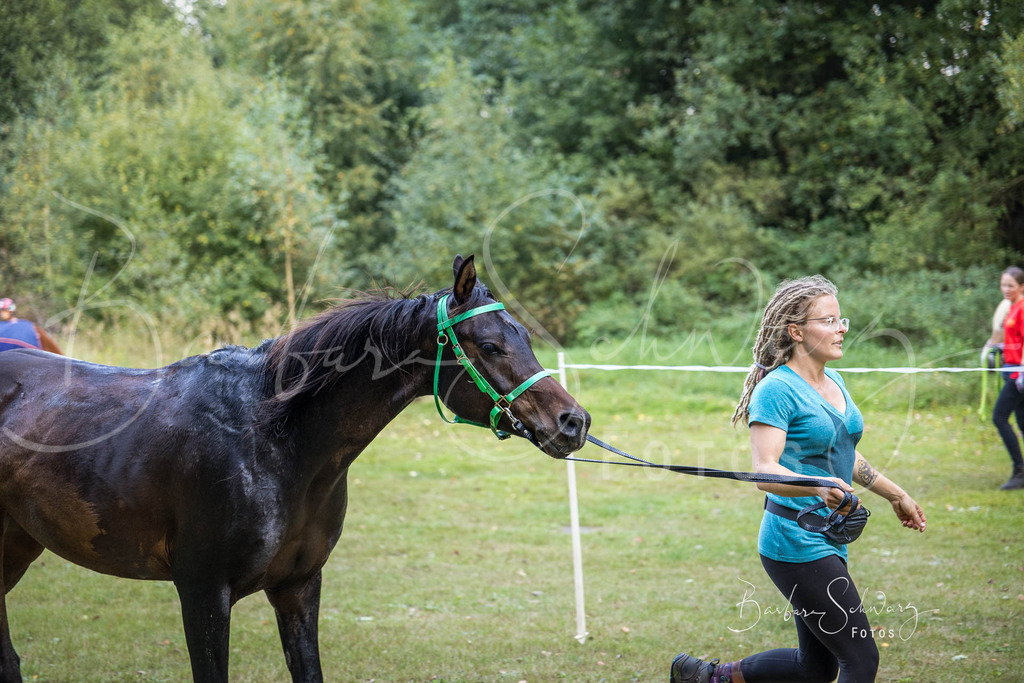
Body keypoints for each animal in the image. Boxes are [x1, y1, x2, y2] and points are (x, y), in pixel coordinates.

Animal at [0, 255, 590, 682]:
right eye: (490, 344)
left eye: (525, 338)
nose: (573, 422)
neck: (271, 439)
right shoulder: (202, 594)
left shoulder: (299, 588)